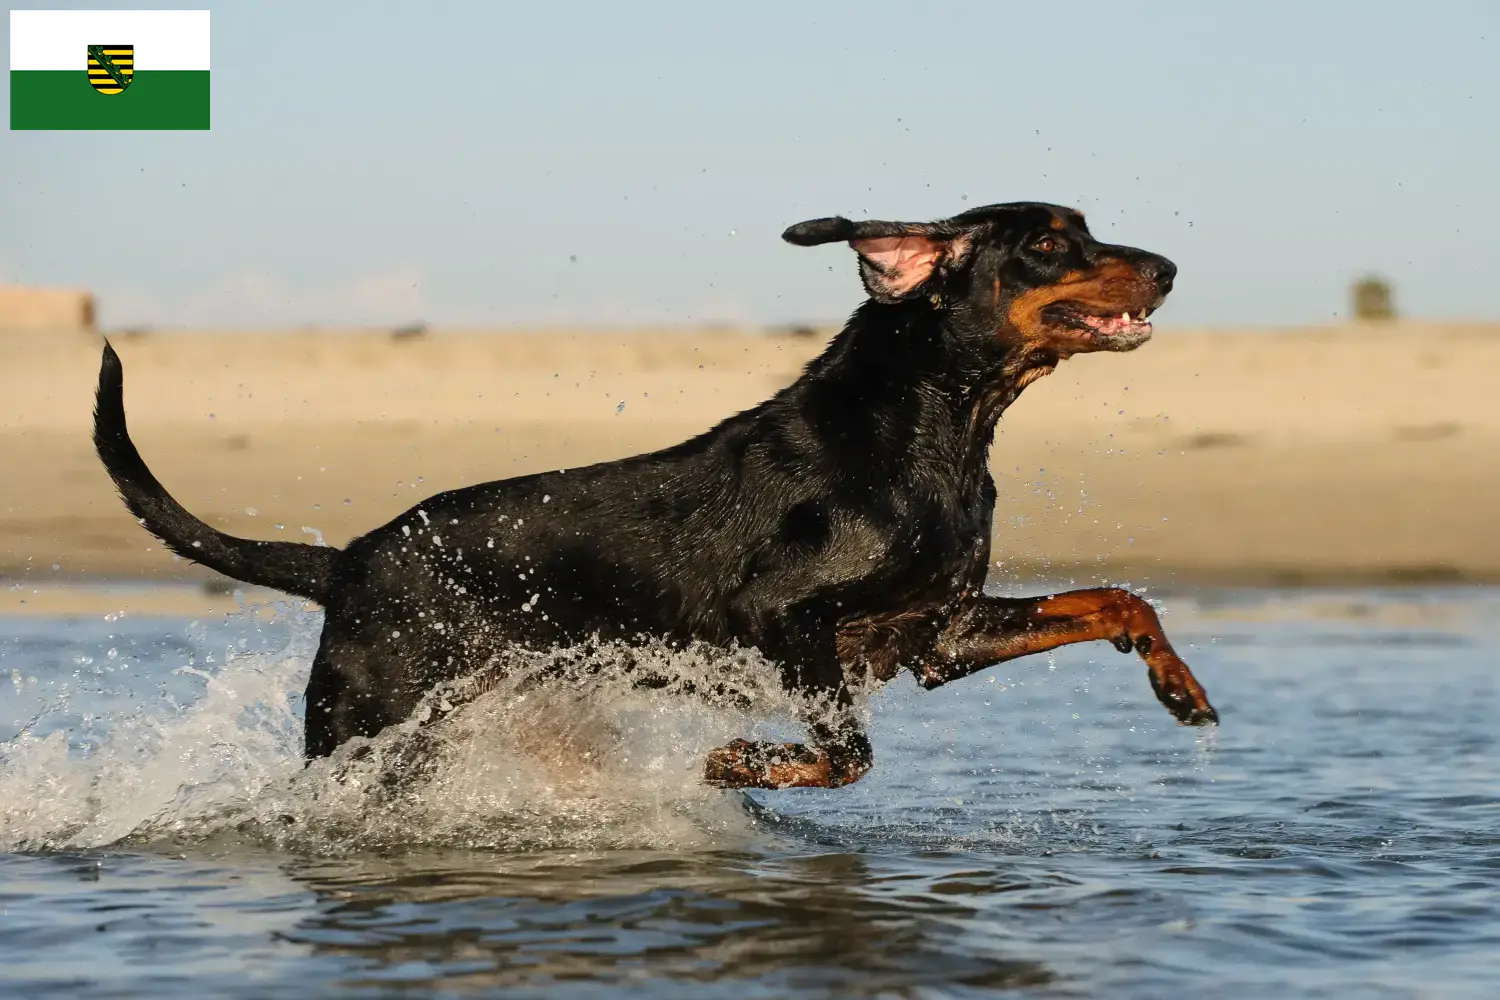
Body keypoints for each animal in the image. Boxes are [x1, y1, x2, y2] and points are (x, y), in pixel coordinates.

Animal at [90, 203, 1218, 791]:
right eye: (1050, 243)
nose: (1169, 265)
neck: (933, 430)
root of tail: (349, 560)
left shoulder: (937, 633)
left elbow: (1116, 599)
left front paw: (1179, 687)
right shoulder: (781, 619)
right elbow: (848, 752)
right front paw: (744, 764)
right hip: (368, 722)